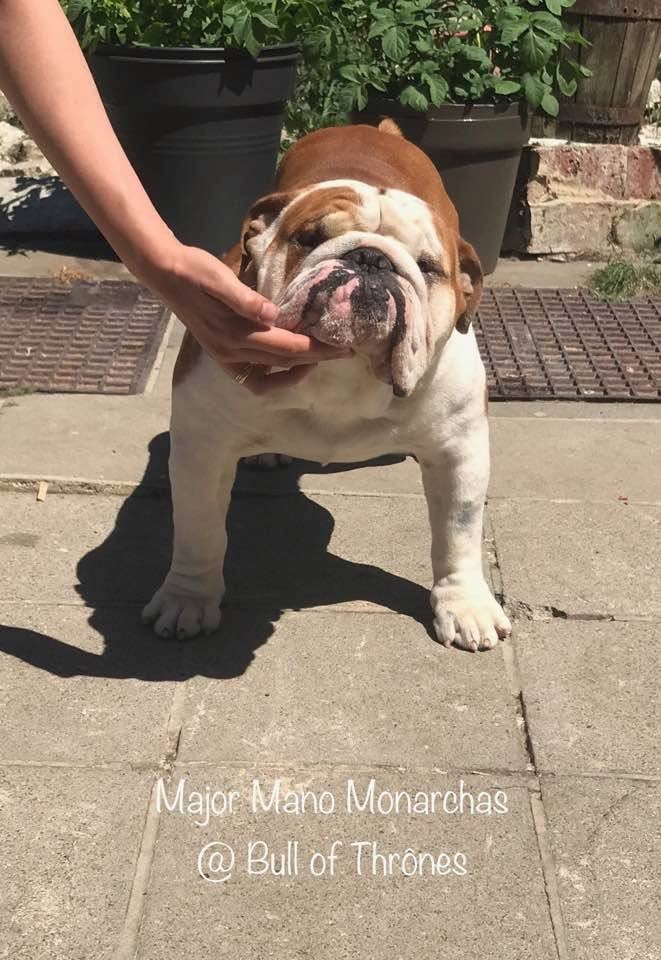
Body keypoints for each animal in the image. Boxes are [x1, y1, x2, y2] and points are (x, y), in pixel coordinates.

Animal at [142, 121, 511, 652]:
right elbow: (198, 530)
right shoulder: (202, 447)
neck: (344, 373)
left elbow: (458, 531)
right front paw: (187, 599)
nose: (371, 259)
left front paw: (464, 606)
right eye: (308, 237)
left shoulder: (460, 449)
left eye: (427, 266)